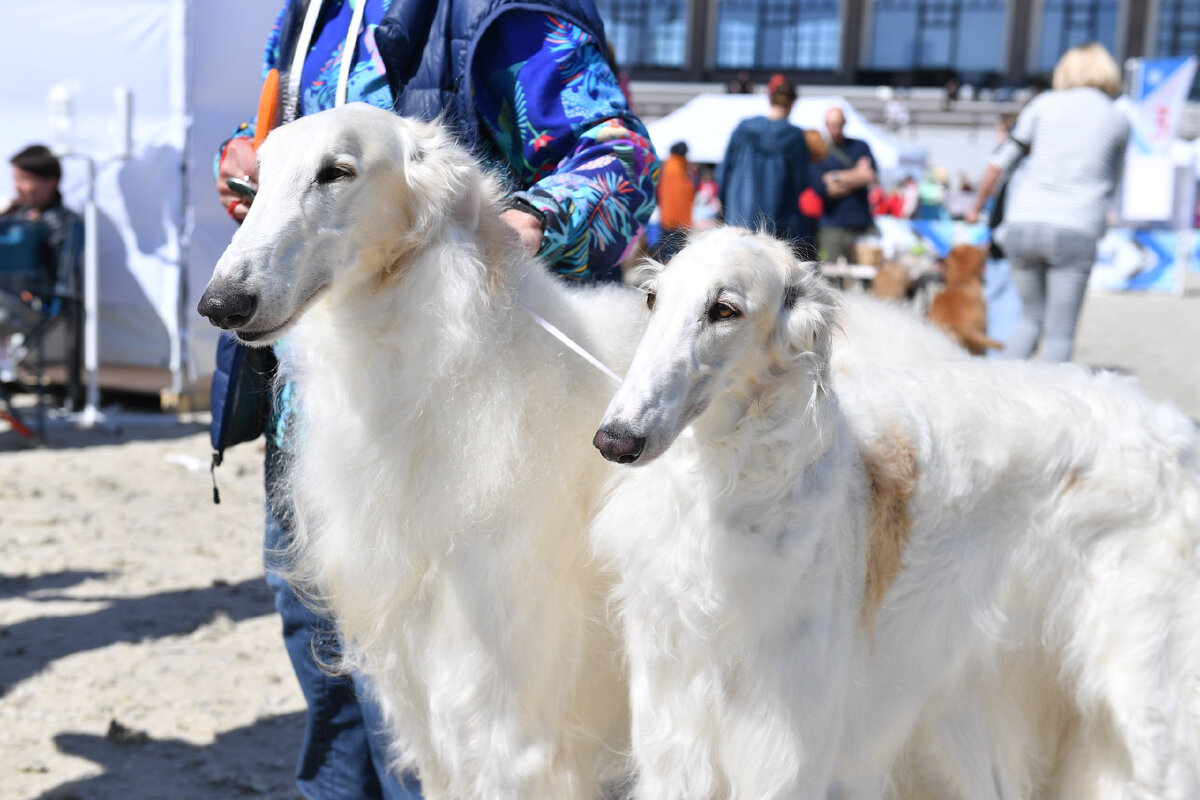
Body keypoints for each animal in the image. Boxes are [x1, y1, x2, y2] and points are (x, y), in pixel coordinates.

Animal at [590, 226, 1200, 800]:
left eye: (724, 309)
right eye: (652, 298)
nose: (615, 439)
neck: (721, 492)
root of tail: (1172, 428)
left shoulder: (783, 755)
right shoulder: (674, 741)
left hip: (1148, 705)